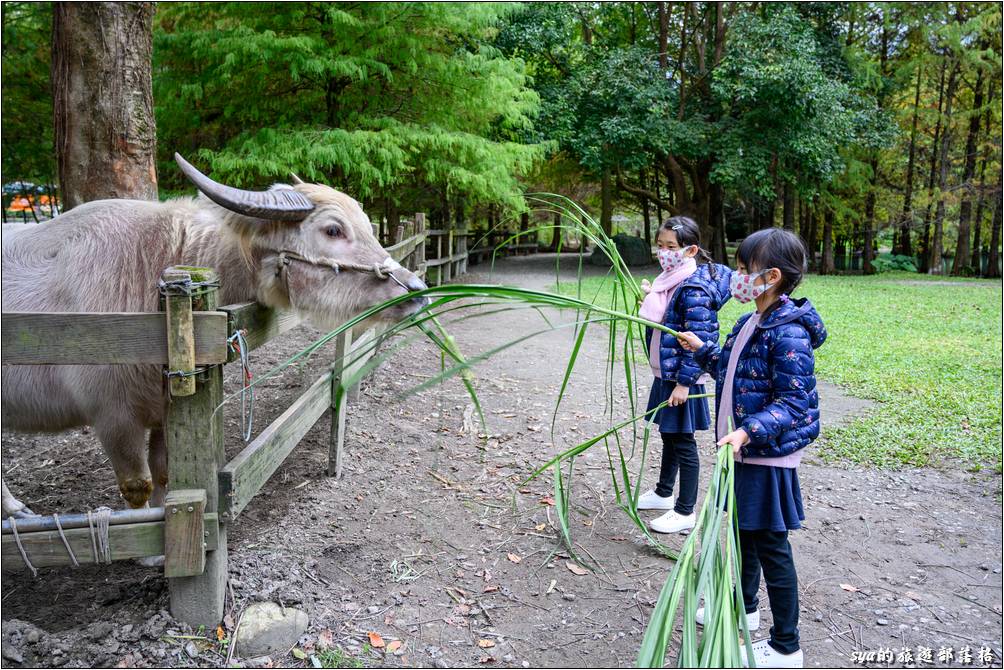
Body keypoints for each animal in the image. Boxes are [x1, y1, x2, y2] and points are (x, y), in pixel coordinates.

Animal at [0, 154, 425, 518]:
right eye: (333, 229)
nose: (416, 289)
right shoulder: (112, 417)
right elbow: (137, 484)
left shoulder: (165, 408)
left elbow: (165, 474)